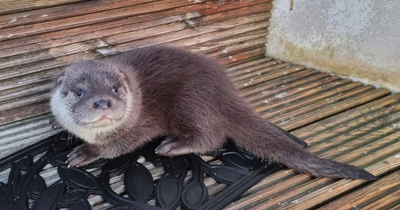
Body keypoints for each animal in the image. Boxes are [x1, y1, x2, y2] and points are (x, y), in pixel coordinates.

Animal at [50, 45, 376, 180]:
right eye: (79, 92)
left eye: (116, 89)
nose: (103, 102)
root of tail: (225, 90)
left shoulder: (140, 124)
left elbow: (116, 146)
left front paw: (86, 152)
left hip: (189, 101)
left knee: (212, 136)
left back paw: (173, 145)